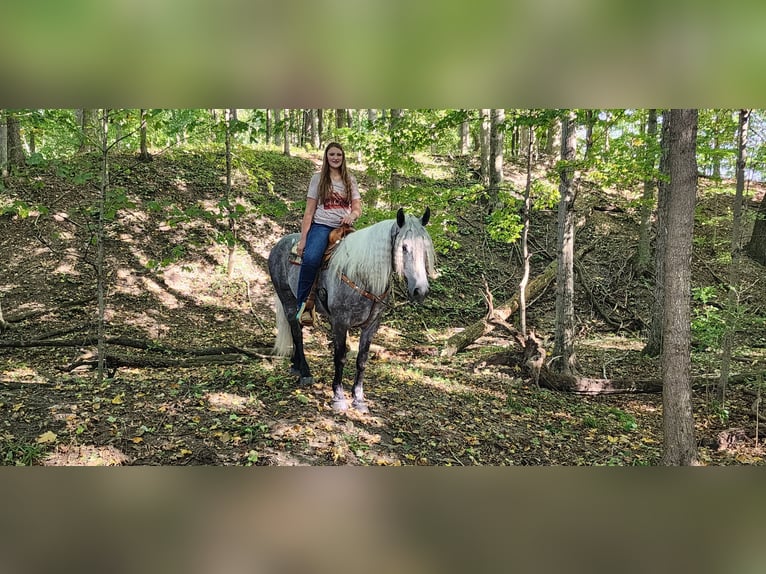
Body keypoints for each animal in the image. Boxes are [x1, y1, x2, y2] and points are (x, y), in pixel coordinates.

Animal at [270, 207, 438, 414]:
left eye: (425, 248)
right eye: (404, 247)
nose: (420, 290)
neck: (361, 275)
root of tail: (280, 243)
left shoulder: (372, 325)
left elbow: (362, 359)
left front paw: (358, 399)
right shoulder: (341, 322)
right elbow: (340, 357)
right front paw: (339, 397)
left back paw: (295, 365)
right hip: (287, 298)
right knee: (297, 331)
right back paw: (305, 372)